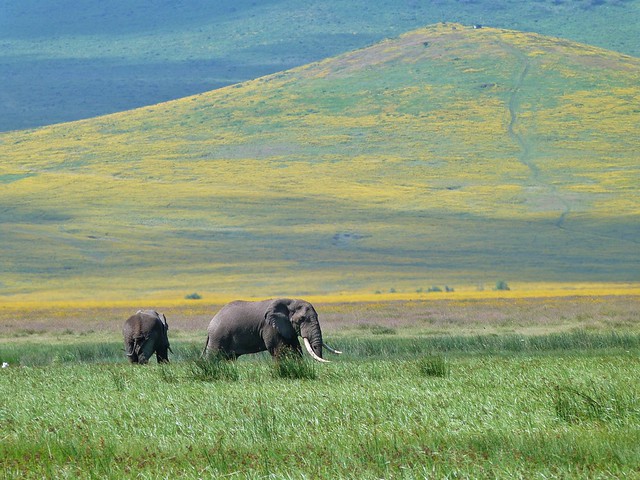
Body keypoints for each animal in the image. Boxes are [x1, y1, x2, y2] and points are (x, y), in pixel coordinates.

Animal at [204, 298, 342, 362]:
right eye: (301, 319)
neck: (290, 302)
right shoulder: (269, 326)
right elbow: (278, 348)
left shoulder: (287, 327)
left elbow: (295, 348)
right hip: (218, 336)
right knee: (213, 356)